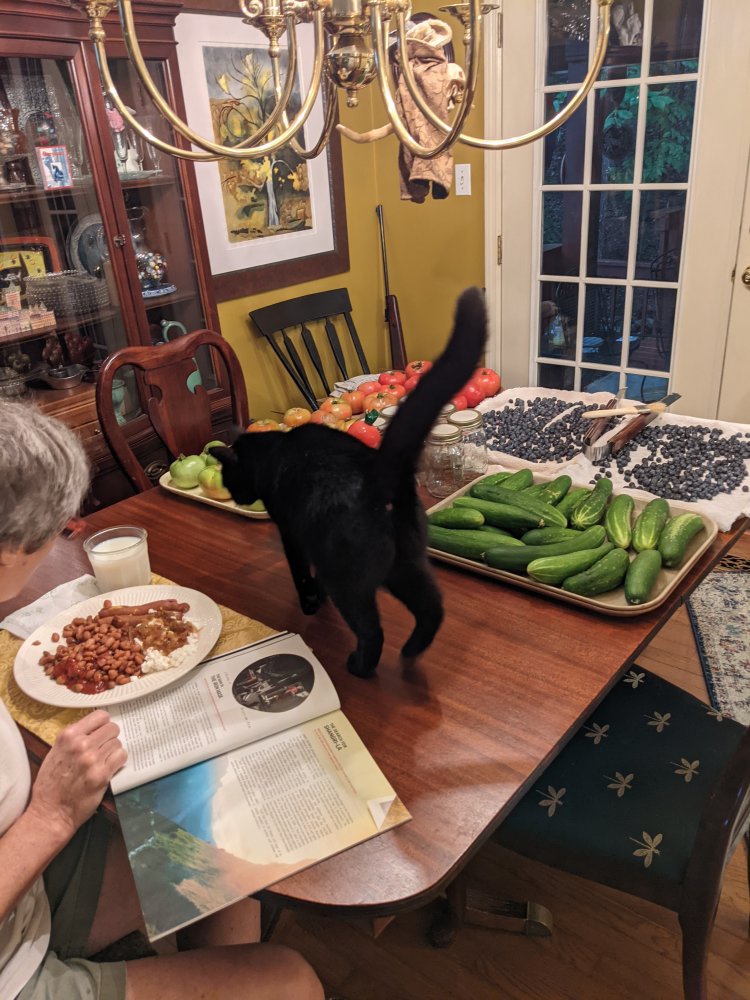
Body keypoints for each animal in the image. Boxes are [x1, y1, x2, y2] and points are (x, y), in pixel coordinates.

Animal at [213, 286, 487, 678]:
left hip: (351, 579)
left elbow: (301, 572)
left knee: (372, 629)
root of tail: (377, 477)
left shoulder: (291, 532)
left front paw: (311, 601)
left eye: (229, 478)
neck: (272, 449)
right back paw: (410, 653)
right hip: (408, 564)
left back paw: (360, 665)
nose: (236, 498)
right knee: (433, 608)